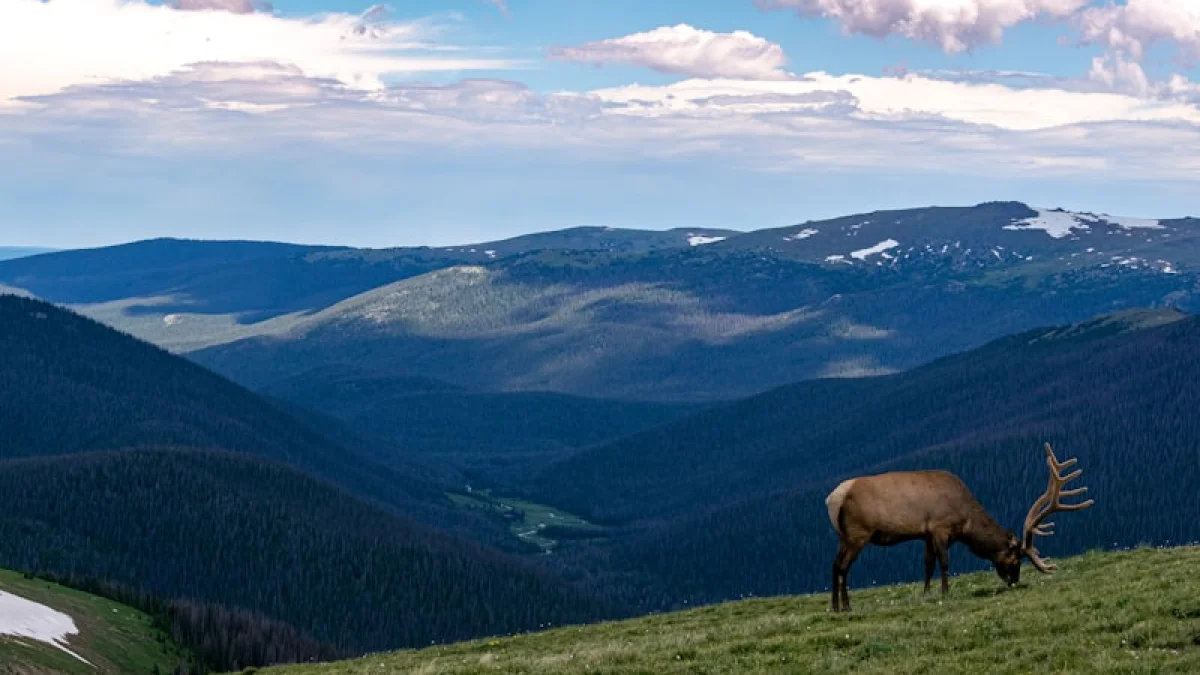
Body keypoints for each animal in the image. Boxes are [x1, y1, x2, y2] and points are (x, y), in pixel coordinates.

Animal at [825, 442, 1093, 612]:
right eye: (1015, 559)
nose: (1014, 581)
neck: (966, 522)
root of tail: (833, 498)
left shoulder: (926, 534)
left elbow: (928, 566)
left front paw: (927, 594)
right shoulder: (940, 528)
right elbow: (944, 563)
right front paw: (945, 593)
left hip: (843, 536)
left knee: (835, 564)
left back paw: (836, 606)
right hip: (858, 533)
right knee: (843, 566)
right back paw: (846, 606)